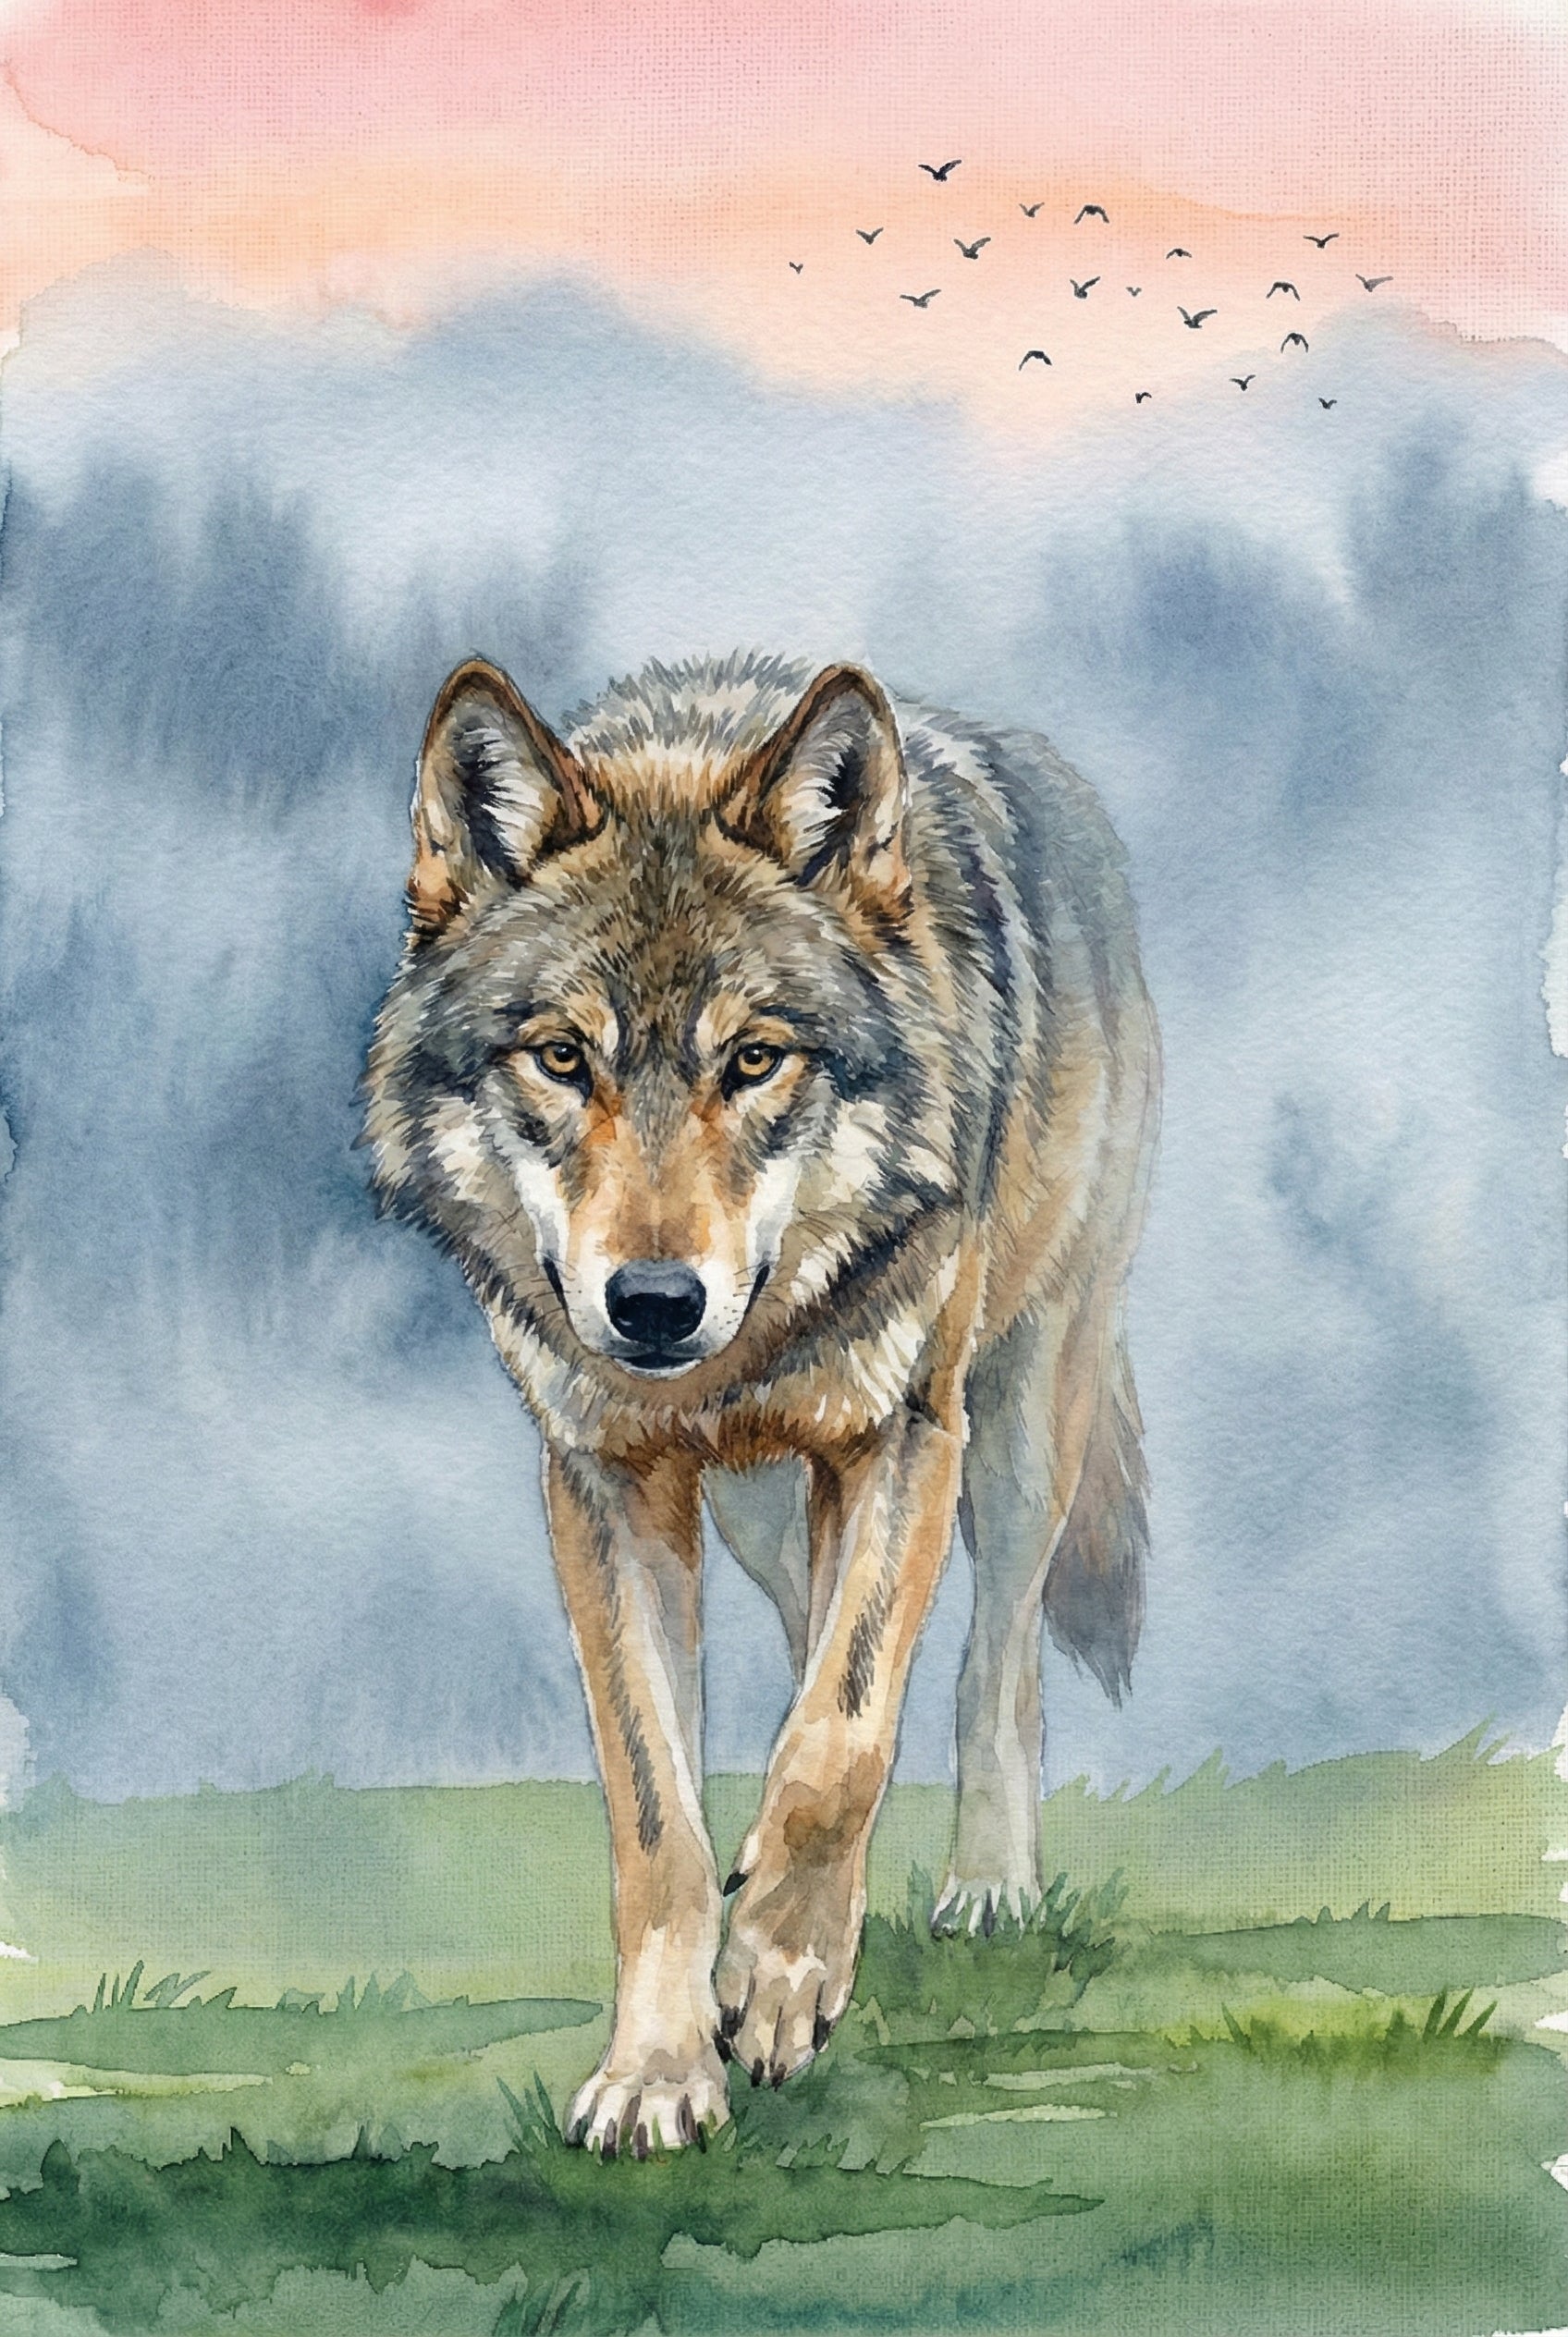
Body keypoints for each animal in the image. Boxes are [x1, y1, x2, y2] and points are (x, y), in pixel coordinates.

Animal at [364, 649, 1159, 2158]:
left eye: (753, 1059)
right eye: (563, 1058)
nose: (653, 1304)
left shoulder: (905, 1435)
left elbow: (841, 1741)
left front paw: (783, 1979)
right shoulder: (605, 1486)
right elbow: (661, 1816)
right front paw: (660, 2069)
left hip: (1023, 1421)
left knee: (991, 1656)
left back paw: (983, 1887)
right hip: (754, 1514)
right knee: (812, 1635)